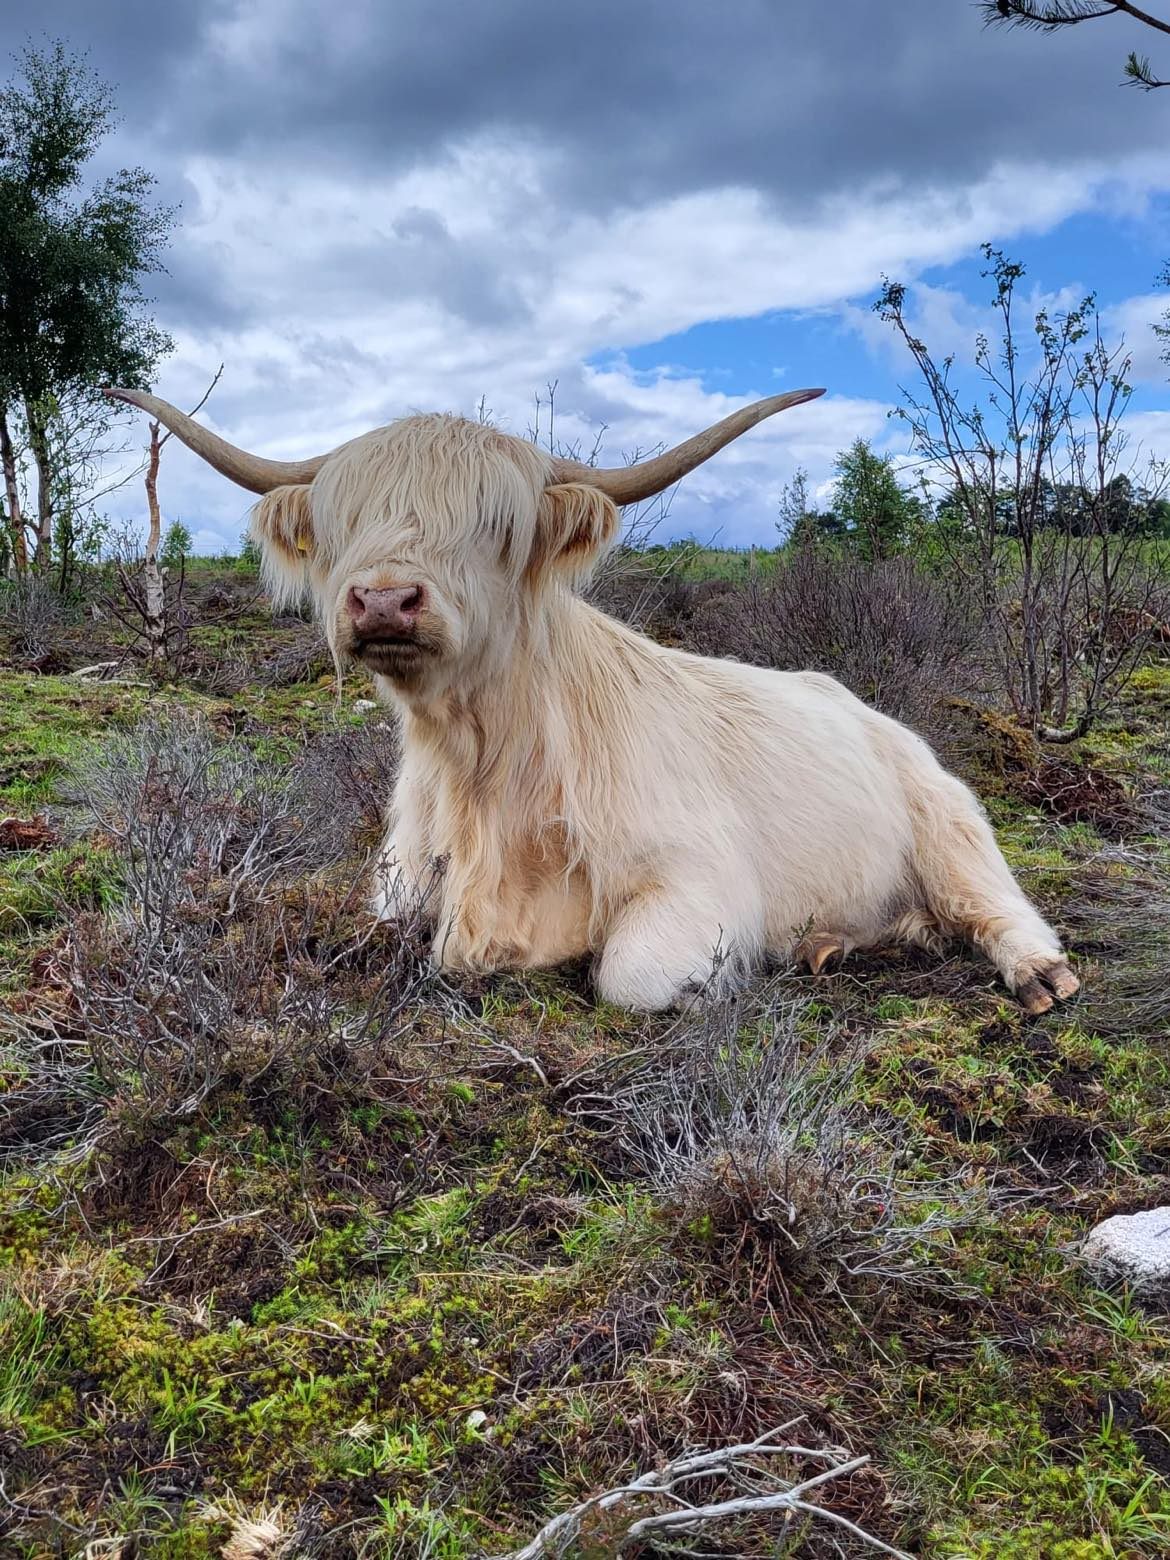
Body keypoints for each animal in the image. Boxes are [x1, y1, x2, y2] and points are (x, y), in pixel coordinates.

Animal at [107, 385, 1079, 1017]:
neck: (484, 766)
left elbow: (629, 977)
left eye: (496, 528)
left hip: (949, 822)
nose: (384, 601)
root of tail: (860, 705)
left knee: (994, 903)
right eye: (348, 523)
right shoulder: (400, 882)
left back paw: (1037, 973)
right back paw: (836, 942)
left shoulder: (697, 879)